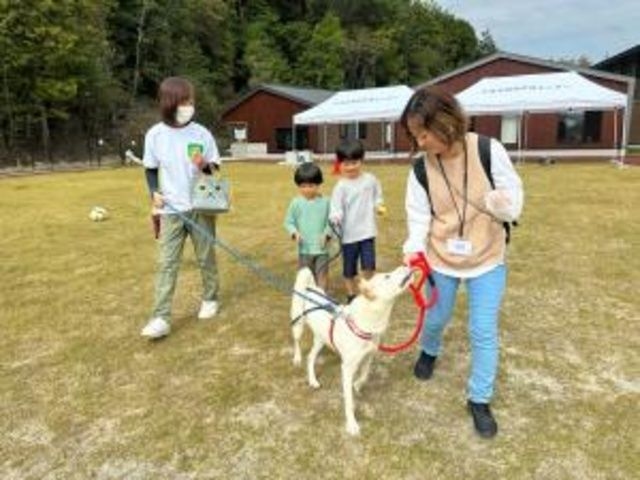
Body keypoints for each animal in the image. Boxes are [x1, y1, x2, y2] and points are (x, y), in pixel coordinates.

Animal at [292, 266, 412, 436]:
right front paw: (352, 424)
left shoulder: (368, 356)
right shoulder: (347, 368)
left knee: (310, 357)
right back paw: (297, 359)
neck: (365, 323)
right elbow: (349, 401)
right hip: (299, 325)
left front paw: (357, 385)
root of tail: (310, 289)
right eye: (387, 276)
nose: (405, 266)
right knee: (297, 343)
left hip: (321, 339)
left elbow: (365, 375)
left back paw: (313, 380)